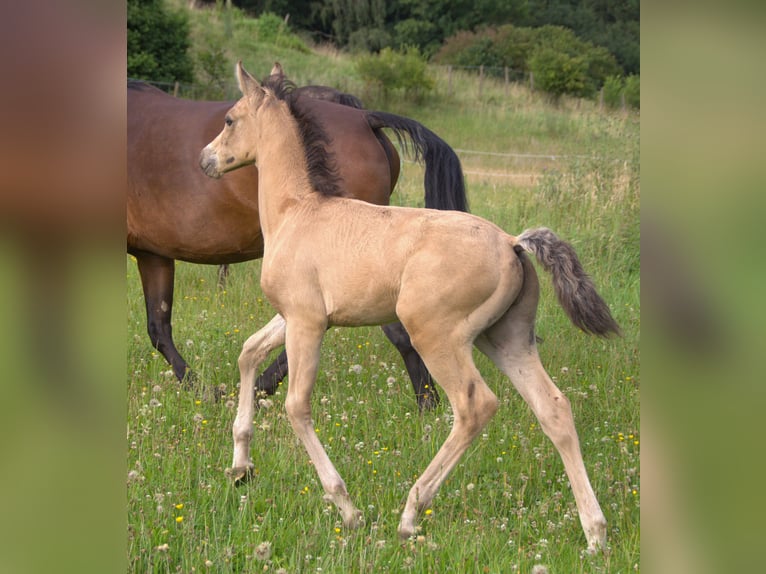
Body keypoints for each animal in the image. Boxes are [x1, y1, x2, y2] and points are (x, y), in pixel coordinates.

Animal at [128, 66, 464, 410]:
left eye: (229, 120)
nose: (204, 159)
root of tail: (365, 118)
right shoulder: (153, 254)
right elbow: (158, 327)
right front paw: (205, 390)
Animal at [201, 65, 620, 556]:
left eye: (229, 119)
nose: (205, 160)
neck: (297, 211)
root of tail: (512, 243)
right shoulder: (292, 314)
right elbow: (249, 352)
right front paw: (240, 467)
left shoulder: (307, 321)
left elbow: (296, 406)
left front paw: (347, 508)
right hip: (507, 339)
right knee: (554, 408)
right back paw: (595, 534)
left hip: (436, 336)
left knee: (475, 406)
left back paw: (410, 513)